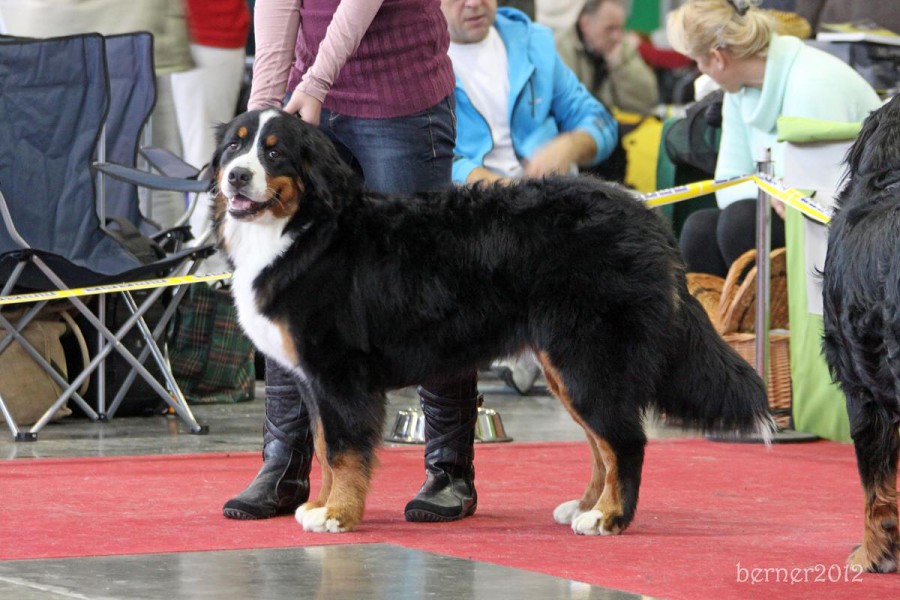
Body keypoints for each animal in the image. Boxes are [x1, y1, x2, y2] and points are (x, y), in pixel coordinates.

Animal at [209, 110, 772, 536]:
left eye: (274, 153)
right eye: (234, 146)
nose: (237, 175)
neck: (302, 228)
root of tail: (647, 217)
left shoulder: (340, 373)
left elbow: (345, 451)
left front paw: (337, 514)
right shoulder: (314, 379)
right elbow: (326, 446)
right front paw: (318, 505)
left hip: (588, 357)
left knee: (624, 442)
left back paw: (608, 518)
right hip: (567, 364)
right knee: (601, 444)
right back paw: (584, 506)